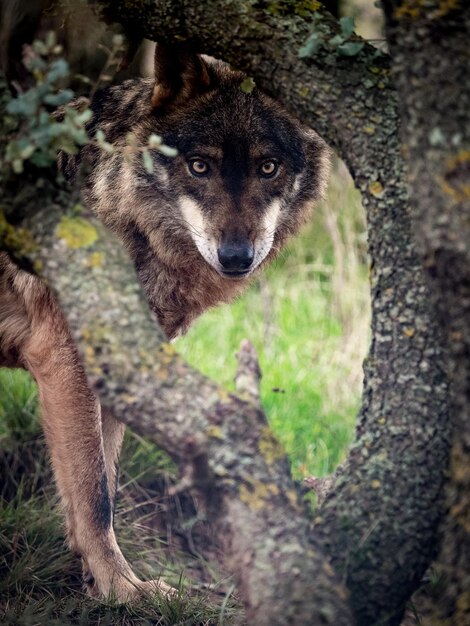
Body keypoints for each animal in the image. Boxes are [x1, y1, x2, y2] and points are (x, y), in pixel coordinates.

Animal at [0, 44, 330, 600]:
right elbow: (95, 496)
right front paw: (121, 590)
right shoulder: (65, 362)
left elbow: (104, 487)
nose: (236, 257)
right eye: (199, 166)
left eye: (268, 167)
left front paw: (102, 583)